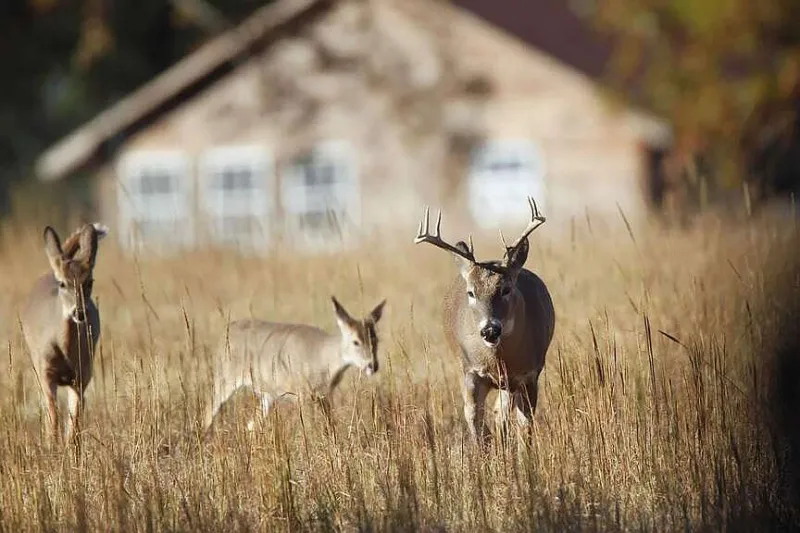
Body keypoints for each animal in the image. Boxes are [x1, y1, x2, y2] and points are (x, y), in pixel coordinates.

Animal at [20, 222, 109, 448]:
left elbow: (74, 421)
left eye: (89, 282)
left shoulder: (82, 375)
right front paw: (52, 447)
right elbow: (53, 416)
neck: (65, 352)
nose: (80, 313)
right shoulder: (45, 371)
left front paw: (71, 450)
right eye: (63, 283)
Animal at [203, 296, 387, 435]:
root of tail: (225, 333)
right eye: (356, 341)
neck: (323, 359)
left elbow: (330, 426)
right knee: (207, 413)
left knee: (251, 424)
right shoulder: (303, 393)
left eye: (376, 340)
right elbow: (310, 429)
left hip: (266, 394)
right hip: (224, 379)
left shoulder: (324, 395)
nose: (373, 365)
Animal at [414, 196, 555, 445]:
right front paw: (485, 453)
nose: (490, 330)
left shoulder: (529, 374)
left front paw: (522, 455)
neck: (496, 360)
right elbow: (475, 421)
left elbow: (524, 426)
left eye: (506, 289)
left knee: (502, 414)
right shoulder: (470, 372)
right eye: (471, 292)